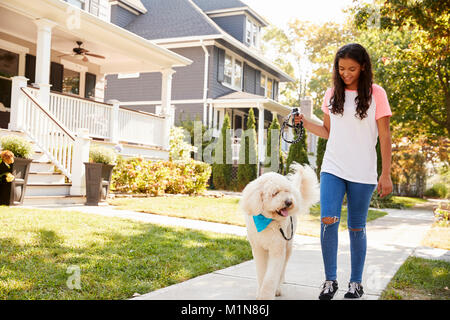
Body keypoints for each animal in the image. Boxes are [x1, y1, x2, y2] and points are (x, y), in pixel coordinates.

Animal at [241, 164, 318, 298]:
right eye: (275, 193)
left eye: (287, 191)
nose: (289, 202)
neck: (267, 221)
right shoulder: (258, 250)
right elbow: (262, 273)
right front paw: (260, 291)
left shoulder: (277, 250)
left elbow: (271, 277)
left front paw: (266, 296)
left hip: (288, 245)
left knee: (282, 269)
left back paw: (278, 288)